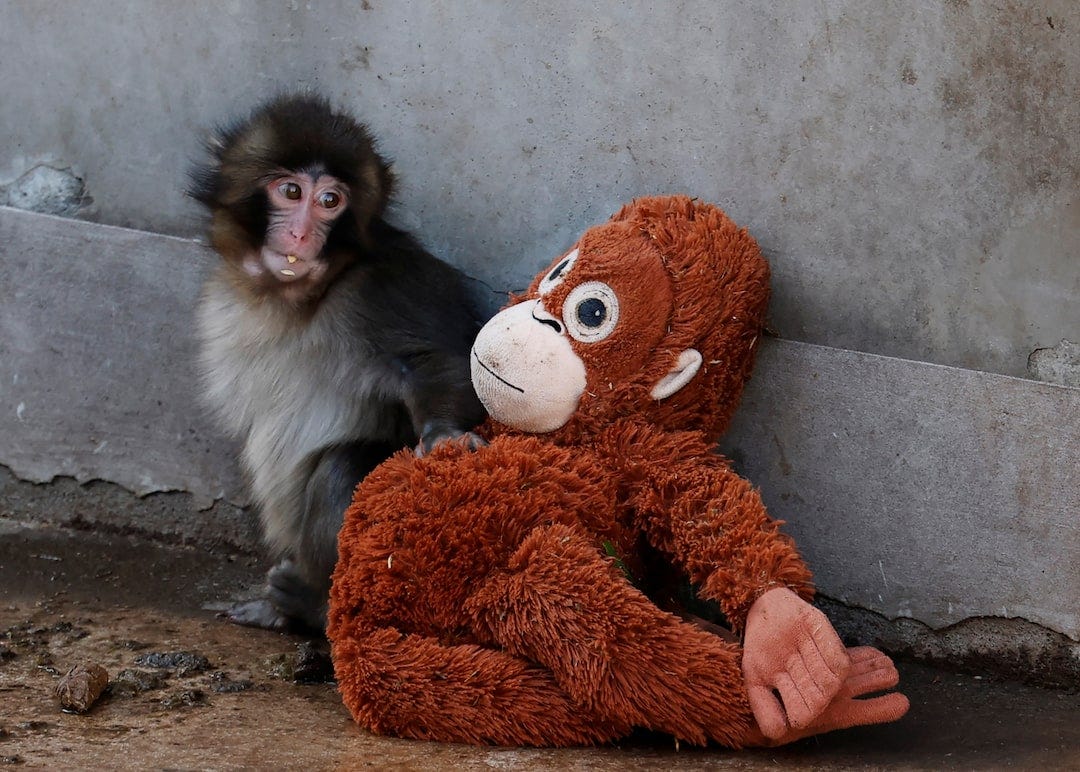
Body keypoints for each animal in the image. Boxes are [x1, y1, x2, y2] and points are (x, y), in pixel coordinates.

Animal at [189, 94, 487, 633]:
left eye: (331, 201)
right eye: (291, 191)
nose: (301, 233)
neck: (298, 298)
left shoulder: (385, 286)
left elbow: (437, 361)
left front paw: (444, 435)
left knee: (341, 468)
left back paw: (312, 606)